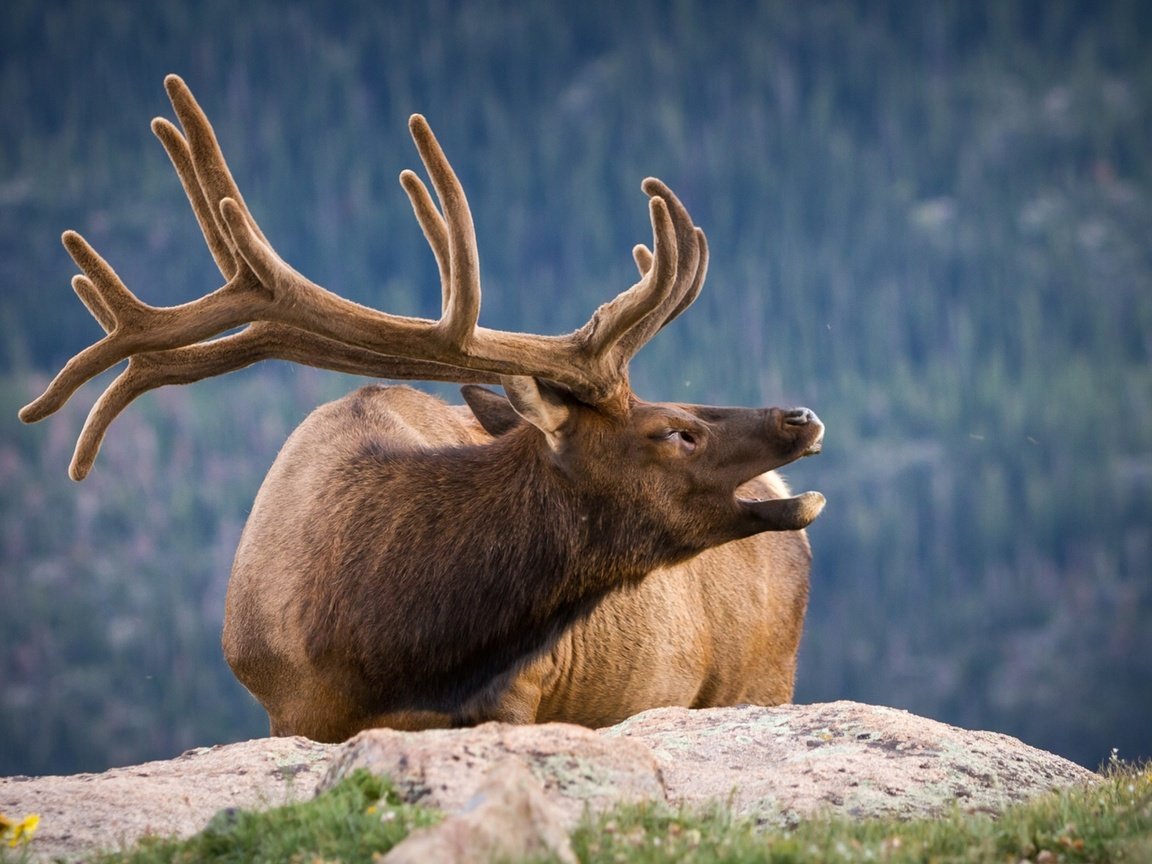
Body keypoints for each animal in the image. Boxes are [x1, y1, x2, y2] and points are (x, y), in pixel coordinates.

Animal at [22, 76, 824, 746]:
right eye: (673, 431)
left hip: (763, 679)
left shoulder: (519, 694)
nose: (802, 417)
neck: (385, 644)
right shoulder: (288, 712)